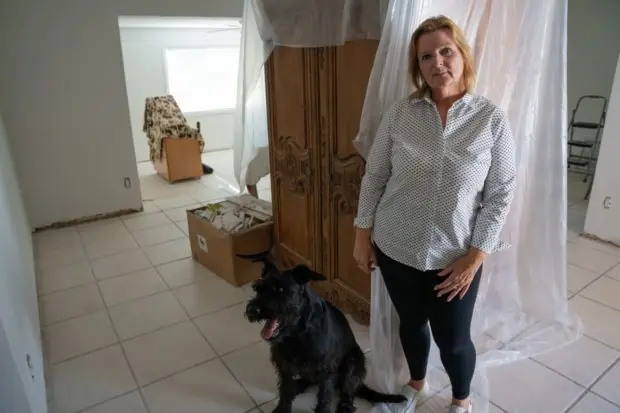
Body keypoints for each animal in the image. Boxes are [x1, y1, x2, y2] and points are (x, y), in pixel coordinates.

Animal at [239, 251, 406, 412]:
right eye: (257, 288)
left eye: (280, 289)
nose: (252, 310)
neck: (297, 333)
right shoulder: (284, 364)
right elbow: (285, 389)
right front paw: (282, 409)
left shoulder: (326, 369)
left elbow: (324, 395)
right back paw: (297, 386)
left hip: (352, 362)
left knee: (347, 391)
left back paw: (344, 407)